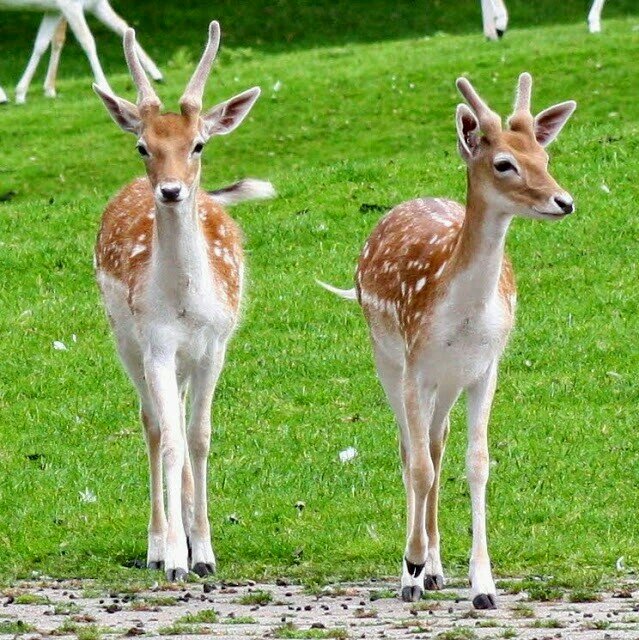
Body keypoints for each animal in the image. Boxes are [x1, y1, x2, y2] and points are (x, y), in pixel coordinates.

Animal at [0, 0, 164, 103]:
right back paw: (3, 98)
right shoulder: (69, 4)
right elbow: (87, 41)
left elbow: (41, 43)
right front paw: (106, 87)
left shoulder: (58, 9)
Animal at [94, 21, 272, 580]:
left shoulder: (214, 345)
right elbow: (171, 438)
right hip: (124, 338)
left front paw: (206, 551)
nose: (171, 191)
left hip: (188, 358)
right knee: (152, 423)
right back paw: (156, 544)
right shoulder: (155, 344)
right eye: (142, 146)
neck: (183, 305)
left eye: (197, 145)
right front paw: (174, 556)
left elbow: (200, 437)